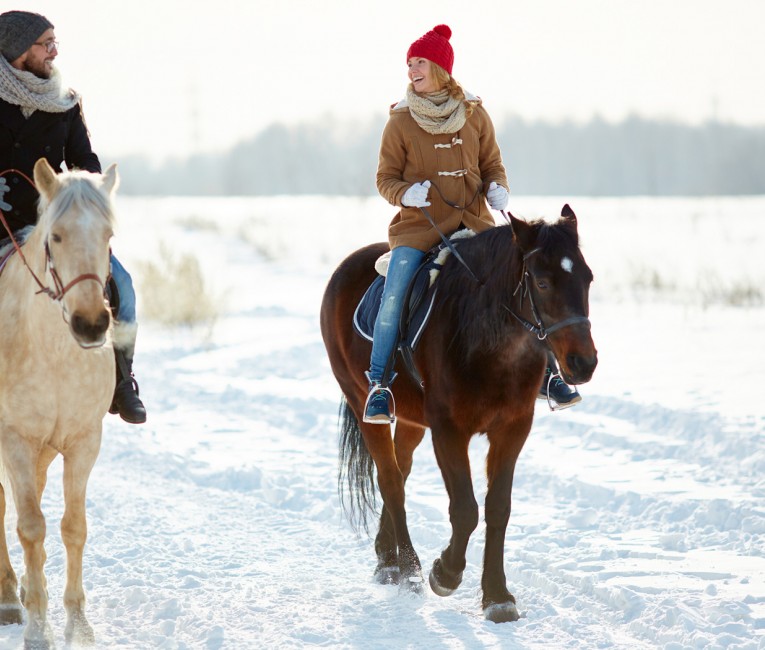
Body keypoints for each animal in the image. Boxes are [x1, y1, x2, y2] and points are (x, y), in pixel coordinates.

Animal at [320, 205, 597, 622]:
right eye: (543, 282)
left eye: (588, 279)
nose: (584, 363)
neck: (487, 341)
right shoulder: (449, 431)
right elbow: (465, 508)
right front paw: (444, 574)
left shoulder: (513, 429)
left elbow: (498, 508)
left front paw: (498, 596)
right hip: (361, 401)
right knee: (391, 481)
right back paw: (409, 569)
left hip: (412, 421)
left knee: (400, 472)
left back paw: (387, 560)